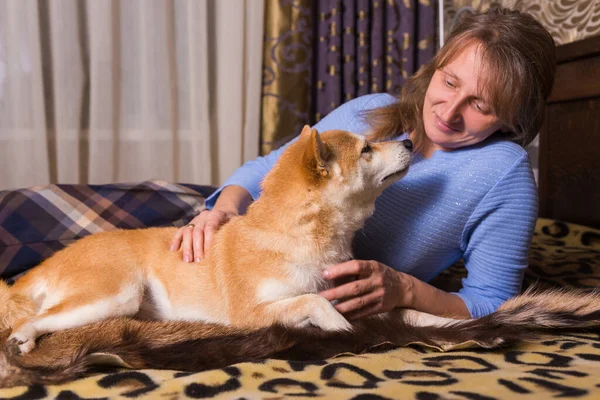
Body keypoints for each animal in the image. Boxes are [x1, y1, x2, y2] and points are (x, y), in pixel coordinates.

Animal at [0, 126, 414, 354]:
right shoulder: (250, 315)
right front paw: (348, 331)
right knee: (30, 320)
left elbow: (400, 311)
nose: (410, 142)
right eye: (366, 148)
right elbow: (315, 301)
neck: (296, 235)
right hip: (115, 295)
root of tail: (55, 259)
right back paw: (24, 338)